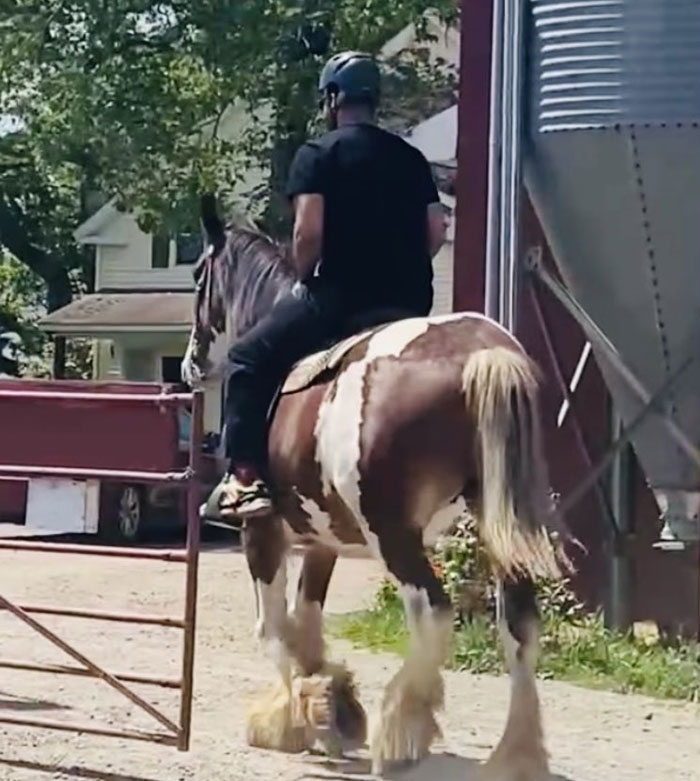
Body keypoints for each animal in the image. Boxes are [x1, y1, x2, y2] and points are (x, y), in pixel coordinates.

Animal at [182, 206, 566, 779]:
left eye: (197, 275)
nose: (190, 363)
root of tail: (485, 353)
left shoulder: (262, 529)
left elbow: (274, 629)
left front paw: (295, 719)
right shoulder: (322, 539)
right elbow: (306, 623)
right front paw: (329, 704)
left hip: (393, 534)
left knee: (433, 612)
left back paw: (403, 730)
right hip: (499, 526)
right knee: (519, 627)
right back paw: (514, 755)